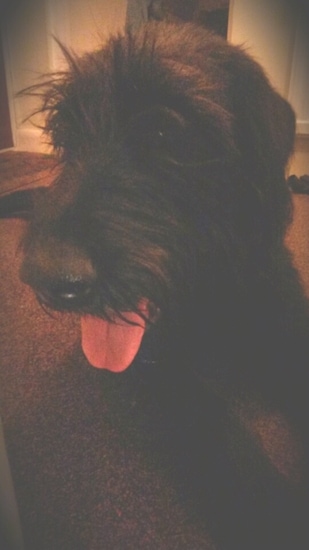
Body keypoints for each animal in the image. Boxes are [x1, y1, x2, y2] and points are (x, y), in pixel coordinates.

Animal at [10, 22, 308, 550]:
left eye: (167, 132)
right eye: (66, 133)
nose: (48, 278)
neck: (208, 296)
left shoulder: (285, 322)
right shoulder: (158, 374)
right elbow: (216, 437)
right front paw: (275, 517)